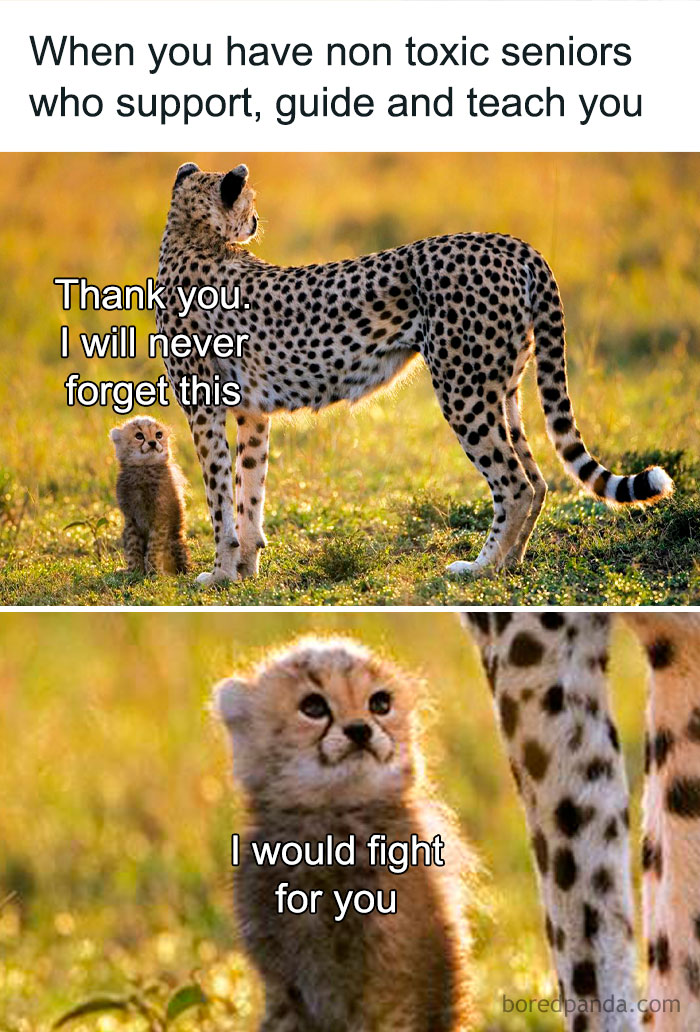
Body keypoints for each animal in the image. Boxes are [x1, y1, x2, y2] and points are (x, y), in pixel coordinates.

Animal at [156, 162, 673, 586]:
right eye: (250, 201)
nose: (256, 221)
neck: (189, 237)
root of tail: (512, 243)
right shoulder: (252, 413)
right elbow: (248, 492)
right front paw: (243, 568)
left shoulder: (204, 408)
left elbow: (219, 496)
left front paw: (220, 574)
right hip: (503, 387)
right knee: (537, 478)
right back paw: (510, 563)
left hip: (463, 388)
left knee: (514, 484)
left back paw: (479, 568)